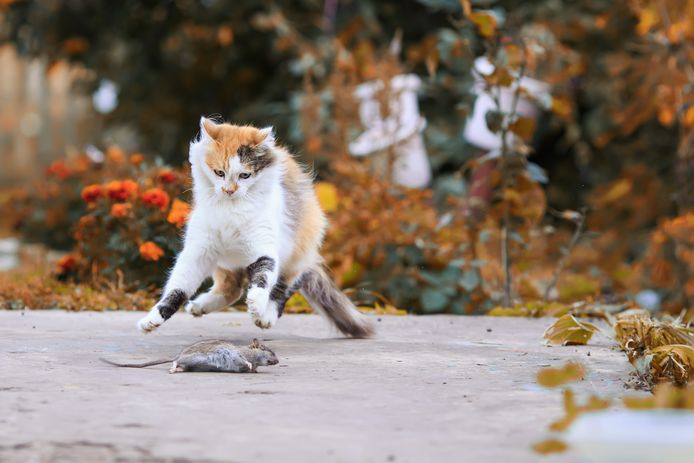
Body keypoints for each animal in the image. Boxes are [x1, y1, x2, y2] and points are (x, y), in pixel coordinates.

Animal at [136, 118, 376, 338]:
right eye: (219, 173)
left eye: (245, 175)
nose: (229, 190)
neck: (230, 209)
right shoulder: (198, 251)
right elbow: (177, 288)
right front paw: (152, 320)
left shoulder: (264, 247)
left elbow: (263, 278)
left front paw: (256, 303)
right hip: (225, 261)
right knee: (232, 289)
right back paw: (199, 306)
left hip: (296, 255)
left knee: (282, 289)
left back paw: (265, 316)